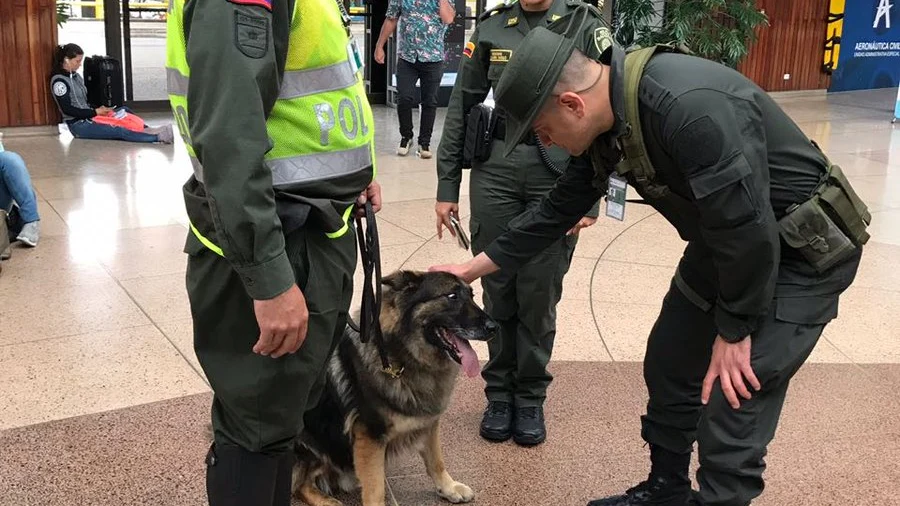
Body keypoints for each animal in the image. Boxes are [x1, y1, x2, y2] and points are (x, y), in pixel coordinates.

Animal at [292, 270, 496, 504]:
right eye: (452, 296)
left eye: (472, 295)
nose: (494, 328)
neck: (402, 356)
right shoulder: (370, 437)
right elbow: (375, 488)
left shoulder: (429, 422)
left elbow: (436, 460)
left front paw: (448, 487)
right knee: (300, 484)